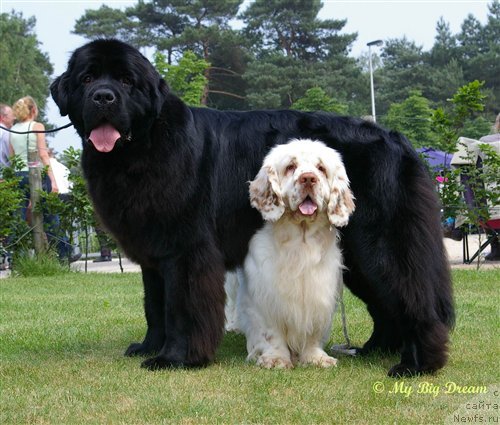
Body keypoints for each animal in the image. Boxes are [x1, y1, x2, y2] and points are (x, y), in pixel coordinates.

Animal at [50, 39, 454, 376]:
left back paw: (416, 365)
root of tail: (397, 139)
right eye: (87, 78)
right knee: (385, 306)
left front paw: (175, 358)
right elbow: (155, 307)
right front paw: (149, 346)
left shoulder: (186, 251)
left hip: (379, 245)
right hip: (357, 254)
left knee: (413, 298)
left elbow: (179, 308)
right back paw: (374, 350)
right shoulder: (154, 253)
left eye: (126, 81)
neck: (143, 145)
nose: (104, 97)